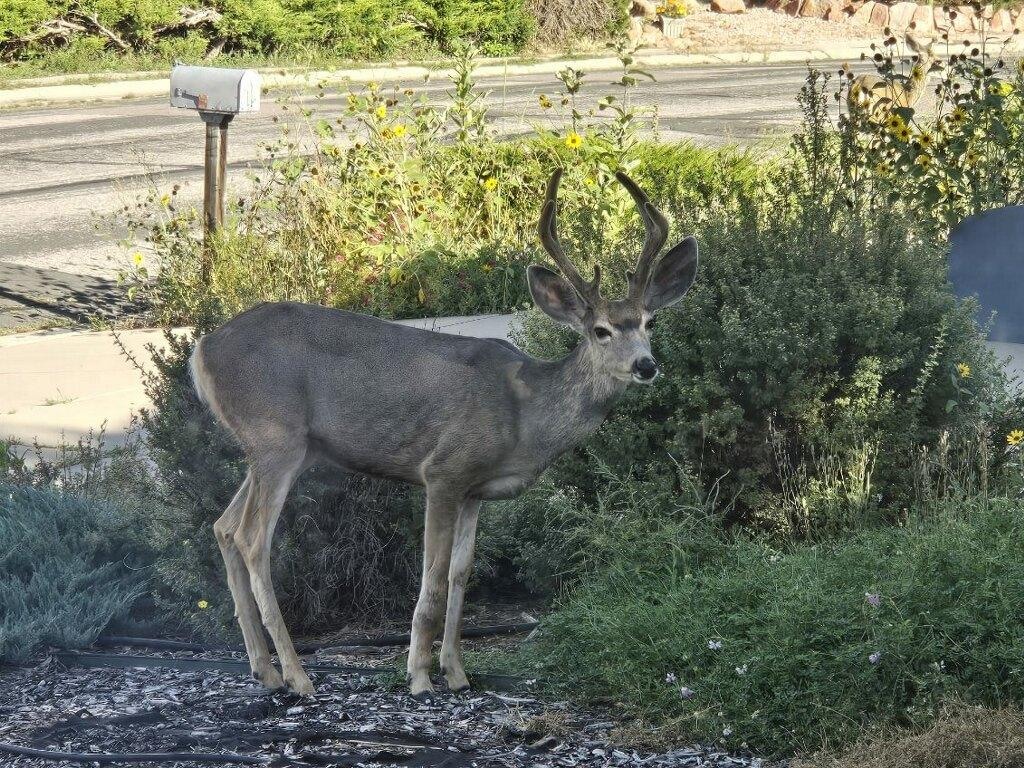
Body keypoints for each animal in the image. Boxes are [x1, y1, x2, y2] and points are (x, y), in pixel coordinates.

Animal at [189, 169, 699, 698]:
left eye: (650, 322)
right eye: (601, 330)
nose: (646, 365)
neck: (525, 412)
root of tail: (202, 348)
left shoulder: (476, 490)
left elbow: (460, 574)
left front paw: (456, 671)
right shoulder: (444, 471)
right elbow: (432, 578)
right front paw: (419, 675)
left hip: (282, 449)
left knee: (223, 527)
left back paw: (263, 669)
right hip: (276, 437)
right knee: (252, 539)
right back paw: (297, 674)